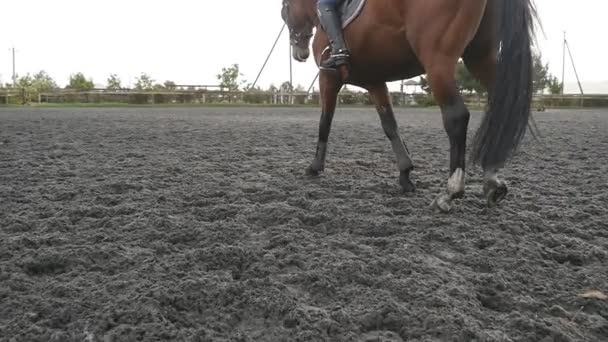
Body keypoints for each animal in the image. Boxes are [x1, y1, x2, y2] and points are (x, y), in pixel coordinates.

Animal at [280, 0, 536, 212]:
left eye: (285, 10)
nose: (299, 52)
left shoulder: (328, 78)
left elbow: (325, 121)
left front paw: (314, 166)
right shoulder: (375, 82)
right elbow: (390, 126)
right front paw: (405, 174)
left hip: (438, 62)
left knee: (456, 117)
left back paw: (450, 192)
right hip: (480, 57)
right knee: (501, 108)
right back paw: (492, 181)